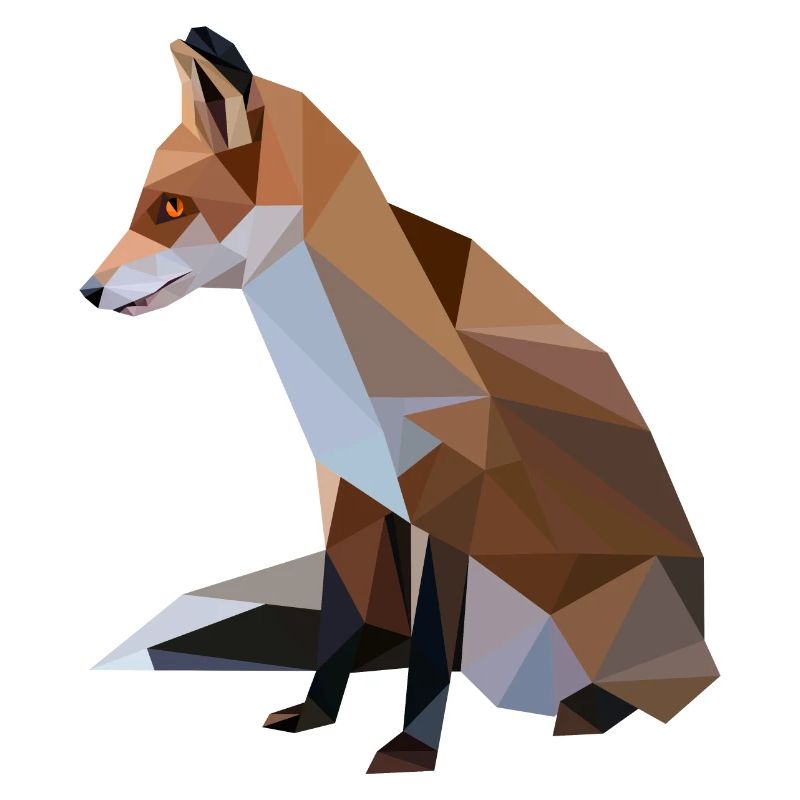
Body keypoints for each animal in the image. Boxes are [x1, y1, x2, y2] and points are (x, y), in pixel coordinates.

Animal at [81, 27, 718, 773]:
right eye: (146, 201)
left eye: (172, 207)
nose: (88, 291)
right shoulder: (351, 490)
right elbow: (341, 624)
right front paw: (315, 717)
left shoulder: (448, 506)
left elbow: (430, 656)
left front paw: (411, 752)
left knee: (664, 692)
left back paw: (585, 712)